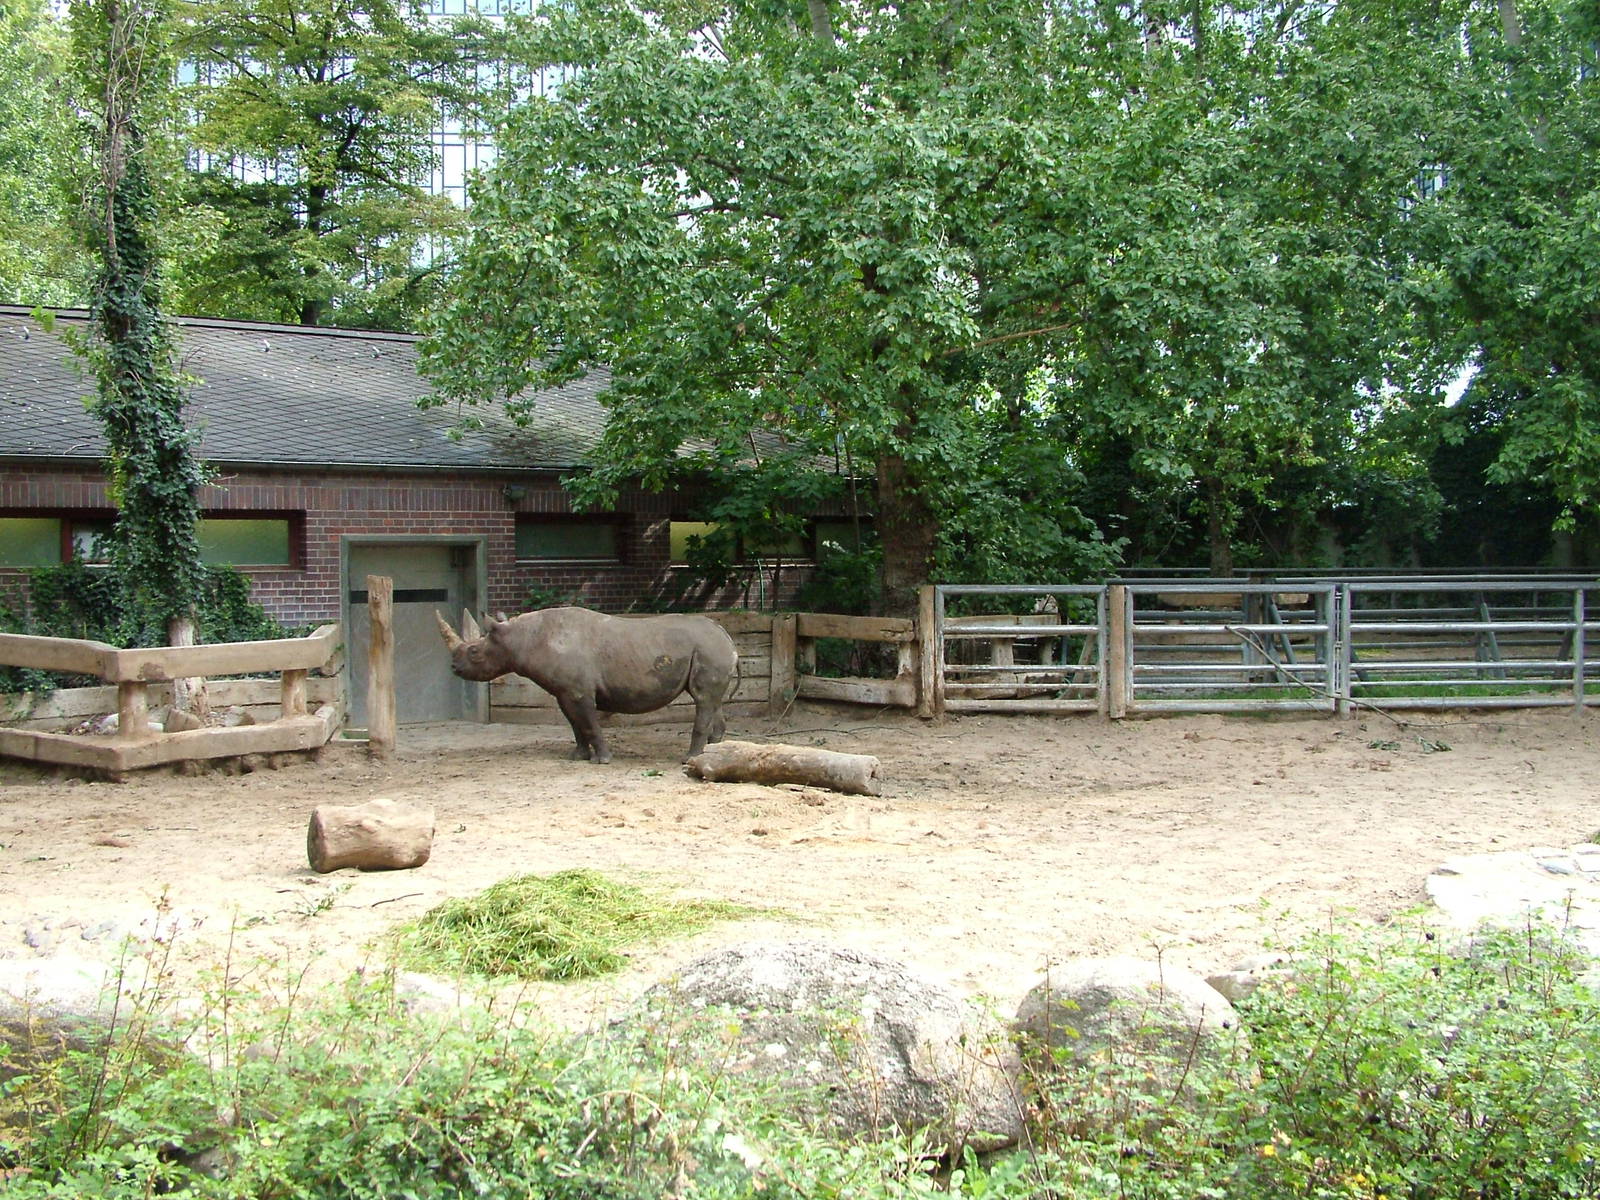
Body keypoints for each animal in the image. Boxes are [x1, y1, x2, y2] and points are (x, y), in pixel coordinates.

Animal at [435, 606, 738, 764]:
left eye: (474, 652)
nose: (454, 668)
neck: (519, 638)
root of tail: (728, 637)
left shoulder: (579, 691)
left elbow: (590, 724)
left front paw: (602, 760)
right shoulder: (564, 691)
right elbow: (575, 725)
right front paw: (576, 756)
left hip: (708, 648)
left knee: (703, 699)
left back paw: (689, 760)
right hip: (708, 649)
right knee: (711, 700)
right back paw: (715, 752)